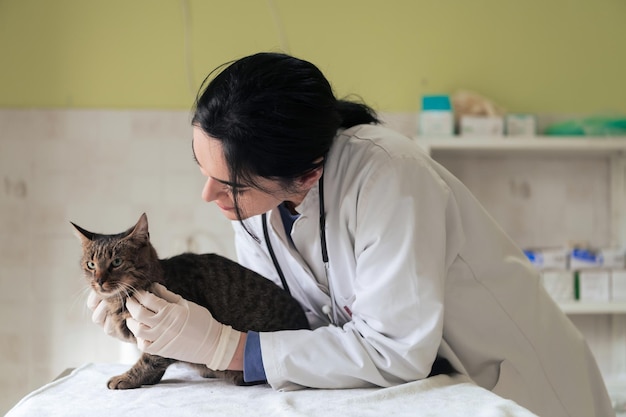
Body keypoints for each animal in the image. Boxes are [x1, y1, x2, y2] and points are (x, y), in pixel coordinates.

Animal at [71, 213, 310, 388]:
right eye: (91, 265)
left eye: (117, 262)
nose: (99, 281)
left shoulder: (159, 337)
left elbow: (149, 360)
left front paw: (127, 378)